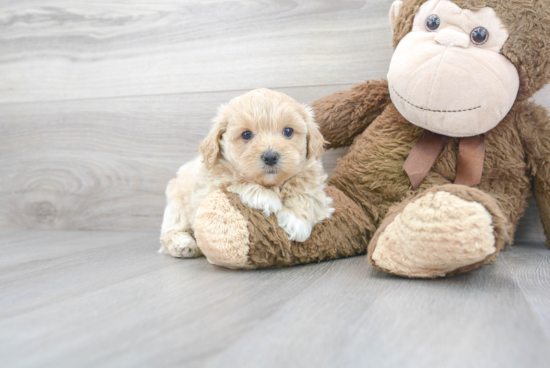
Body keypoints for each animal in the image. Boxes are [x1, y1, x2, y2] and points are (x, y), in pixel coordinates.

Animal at [157, 87, 334, 258]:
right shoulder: (210, 184)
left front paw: (296, 221)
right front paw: (266, 198)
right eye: (246, 134)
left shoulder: (314, 182)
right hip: (176, 206)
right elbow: (236, 180)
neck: (271, 183)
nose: (270, 157)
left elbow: (307, 195)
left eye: (288, 131)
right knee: (170, 232)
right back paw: (183, 244)